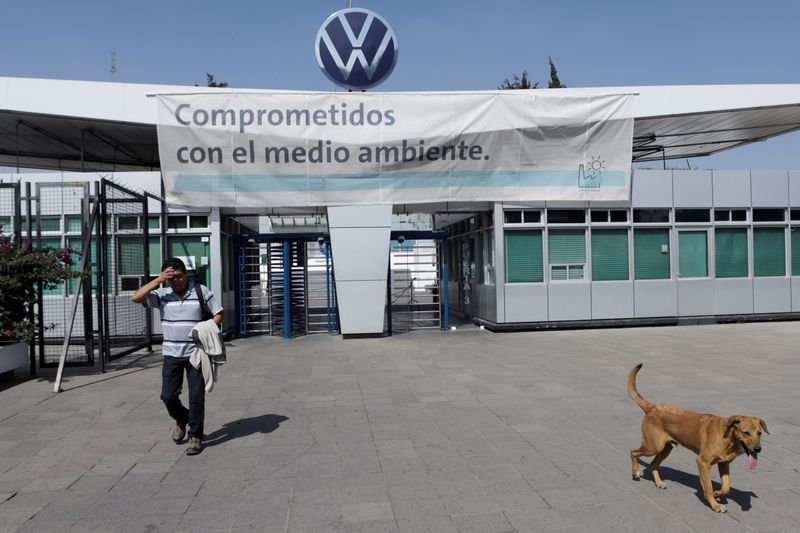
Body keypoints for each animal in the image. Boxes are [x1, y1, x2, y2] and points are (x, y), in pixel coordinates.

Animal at [628, 362, 764, 512]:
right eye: (746, 433)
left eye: (760, 433)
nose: (758, 449)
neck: (727, 438)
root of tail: (652, 407)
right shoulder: (702, 462)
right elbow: (708, 486)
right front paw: (715, 504)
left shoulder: (724, 463)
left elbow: (726, 487)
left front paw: (717, 494)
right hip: (653, 446)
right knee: (634, 452)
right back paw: (636, 472)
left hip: (666, 448)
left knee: (653, 464)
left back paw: (658, 482)